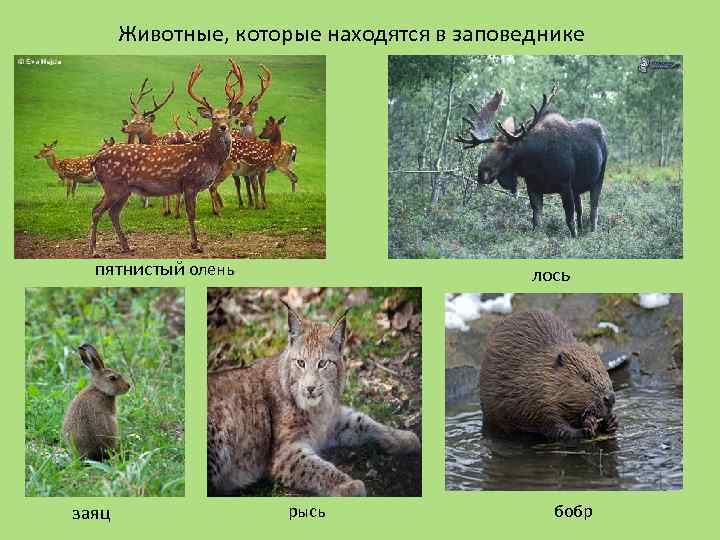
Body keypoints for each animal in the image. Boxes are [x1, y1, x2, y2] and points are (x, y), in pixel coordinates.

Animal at [88, 60, 243, 257]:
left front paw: (195, 243)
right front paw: (196, 245)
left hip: (124, 189)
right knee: (96, 211)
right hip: (112, 185)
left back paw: (126, 246)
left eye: (229, 116)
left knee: (113, 213)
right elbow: (191, 214)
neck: (208, 157)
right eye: (214, 118)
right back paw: (94, 250)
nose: (223, 127)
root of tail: (95, 160)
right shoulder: (189, 183)